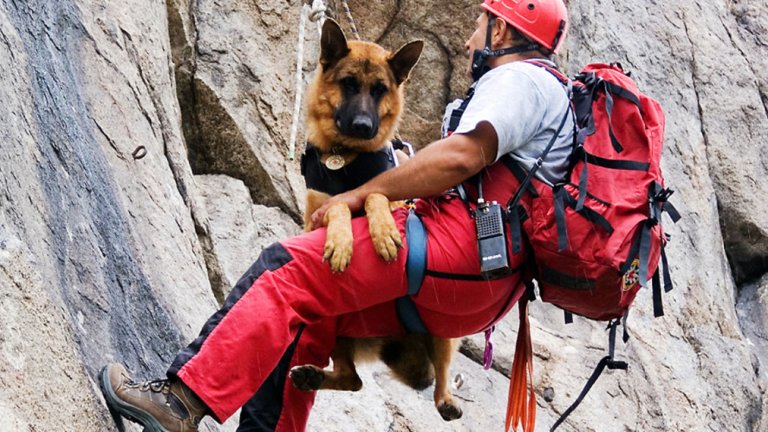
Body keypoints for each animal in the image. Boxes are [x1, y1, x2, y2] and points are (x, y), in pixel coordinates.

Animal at [290, 21, 462, 422]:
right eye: (349, 83)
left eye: (380, 89)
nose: (362, 125)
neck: (347, 158)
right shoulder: (315, 220)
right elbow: (338, 205)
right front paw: (342, 242)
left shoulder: (397, 199)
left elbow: (374, 193)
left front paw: (382, 232)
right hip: (335, 326)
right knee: (352, 380)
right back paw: (312, 376)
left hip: (443, 331)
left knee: (440, 373)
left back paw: (447, 399)